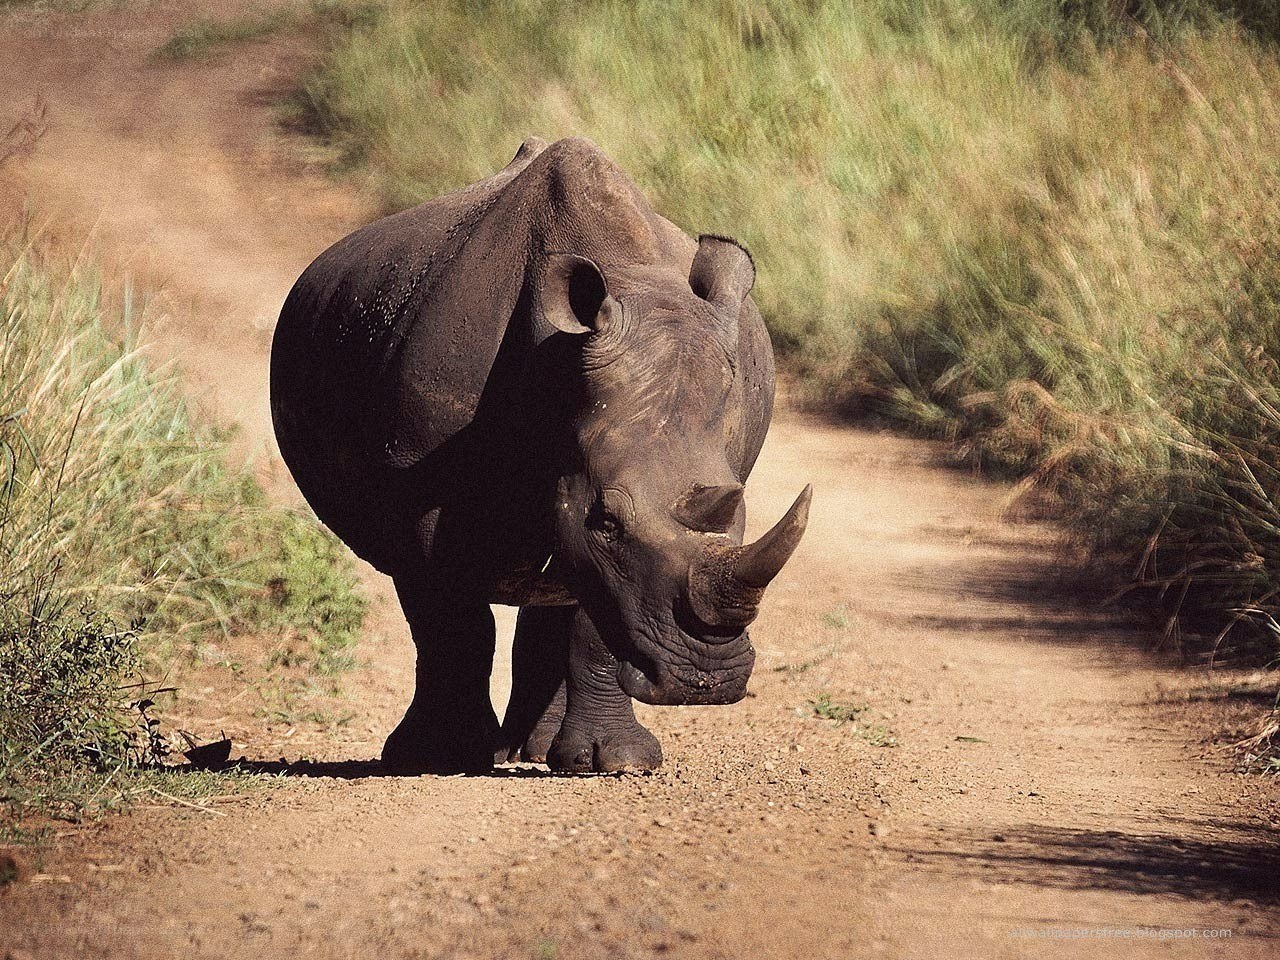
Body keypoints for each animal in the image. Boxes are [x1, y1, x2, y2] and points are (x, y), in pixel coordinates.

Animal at [270, 136, 810, 774]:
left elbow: (594, 618)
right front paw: (439, 755)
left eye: (741, 513)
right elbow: (453, 620)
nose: (706, 681)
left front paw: (618, 763)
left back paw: (538, 751)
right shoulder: (415, 495)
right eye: (605, 520)